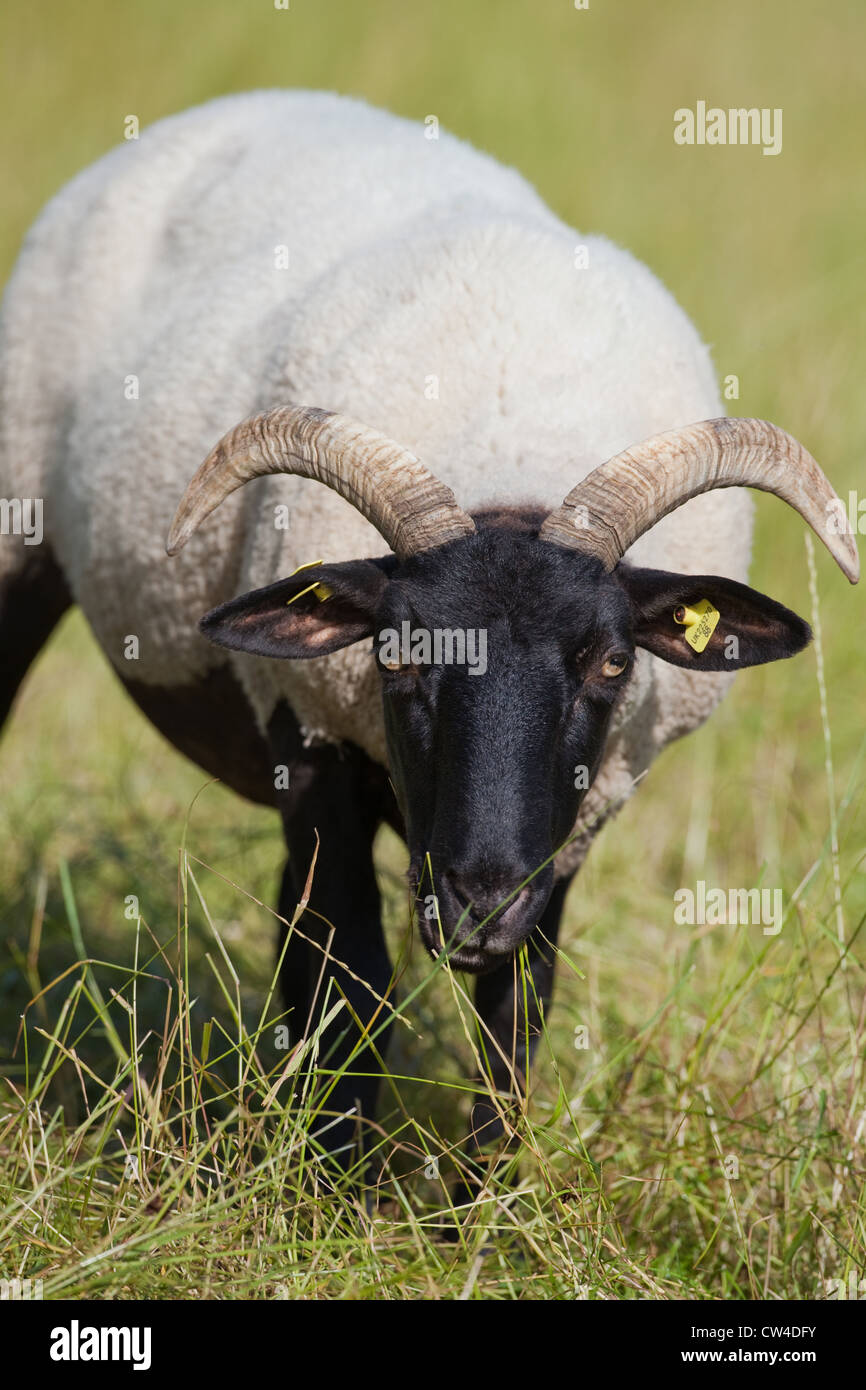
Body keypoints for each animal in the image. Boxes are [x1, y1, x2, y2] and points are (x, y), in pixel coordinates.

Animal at [0, 90, 857, 1176]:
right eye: (396, 653)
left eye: (614, 660)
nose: (476, 902)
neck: (511, 461)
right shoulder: (312, 736)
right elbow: (353, 973)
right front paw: (341, 1181)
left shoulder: (579, 811)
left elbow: (516, 1001)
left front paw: (482, 1194)